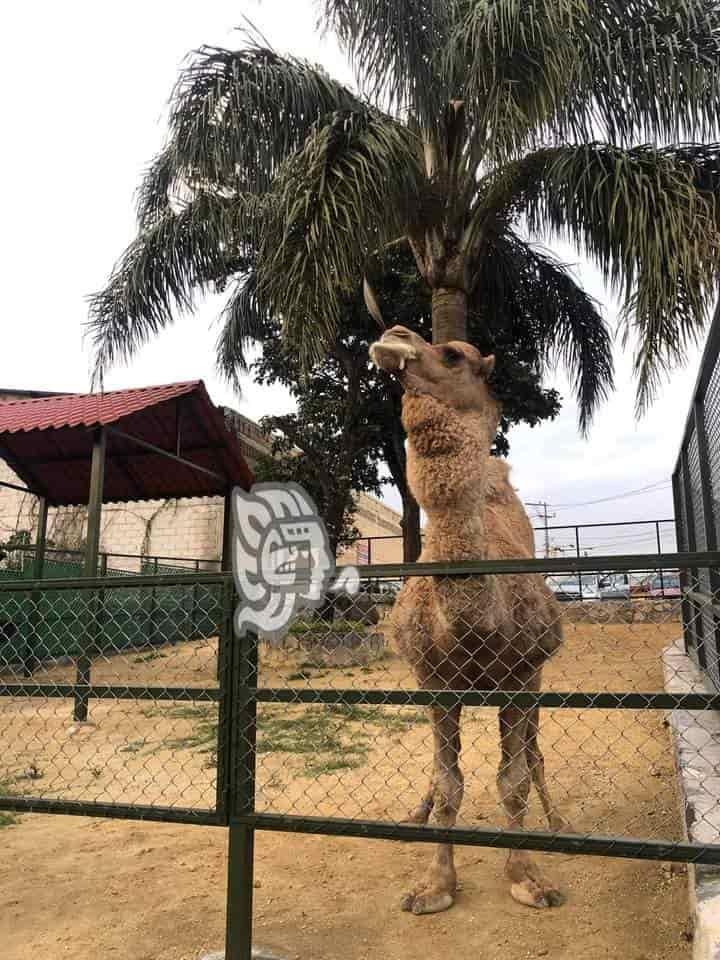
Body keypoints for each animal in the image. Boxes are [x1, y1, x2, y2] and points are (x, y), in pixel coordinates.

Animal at [372, 328, 568, 916]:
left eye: (453, 354)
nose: (392, 337)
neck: (476, 629)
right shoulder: (435, 683)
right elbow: (450, 782)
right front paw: (434, 886)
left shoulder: (522, 678)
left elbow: (514, 780)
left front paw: (528, 878)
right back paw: (415, 813)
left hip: (538, 680)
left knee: (535, 753)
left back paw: (557, 823)